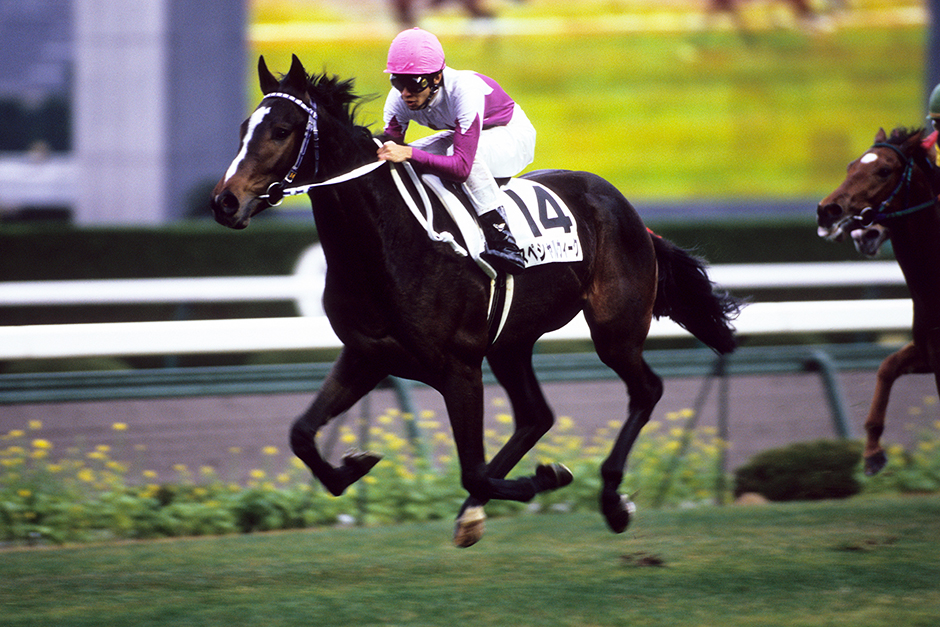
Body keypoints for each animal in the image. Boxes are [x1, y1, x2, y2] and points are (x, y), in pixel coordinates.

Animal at [212, 54, 738, 547]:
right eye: (242, 130)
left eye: (282, 130)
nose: (224, 202)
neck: (385, 244)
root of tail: (631, 213)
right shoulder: (367, 355)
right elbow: (301, 434)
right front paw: (354, 466)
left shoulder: (459, 367)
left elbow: (473, 470)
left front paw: (545, 478)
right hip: (511, 342)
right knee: (536, 415)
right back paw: (482, 509)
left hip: (615, 329)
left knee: (644, 391)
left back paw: (611, 499)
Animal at [817, 126, 940, 476]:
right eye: (850, 165)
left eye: (884, 170)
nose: (827, 210)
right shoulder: (929, 352)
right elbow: (887, 367)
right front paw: (872, 453)